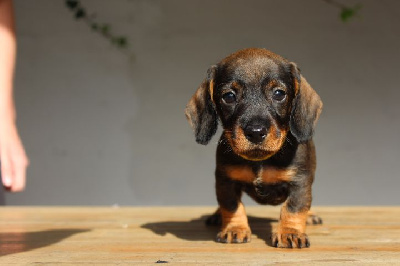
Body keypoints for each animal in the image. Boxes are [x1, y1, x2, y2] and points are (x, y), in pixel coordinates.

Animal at [186, 48, 324, 249]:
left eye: (279, 93)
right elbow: (231, 206)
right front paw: (235, 229)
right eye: (228, 96)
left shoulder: (300, 181)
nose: (256, 132)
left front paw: (289, 233)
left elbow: (294, 207)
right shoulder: (225, 180)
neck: (261, 161)